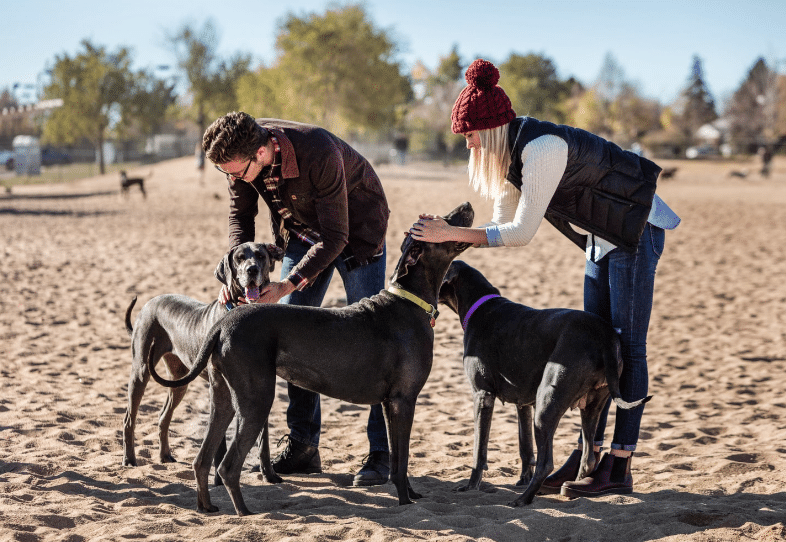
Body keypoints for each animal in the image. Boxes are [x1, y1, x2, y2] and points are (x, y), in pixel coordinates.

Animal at [121, 242, 284, 480]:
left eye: (261, 256)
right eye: (239, 258)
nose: (252, 270)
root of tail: (149, 302)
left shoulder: (257, 388)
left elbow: (264, 440)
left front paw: (269, 474)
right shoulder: (220, 386)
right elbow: (220, 439)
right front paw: (217, 477)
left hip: (179, 381)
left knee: (163, 416)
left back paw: (165, 455)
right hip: (141, 370)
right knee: (129, 419)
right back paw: (129, 459)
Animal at [434, 262, 648, 508]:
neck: (479, 304)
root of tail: (605, 335)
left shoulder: (482, 395)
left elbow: (479, 450)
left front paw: (471, 486)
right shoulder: (524, 403)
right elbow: (525, 446)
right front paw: (522, 478)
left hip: (547, 404)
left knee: (547, 463)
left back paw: (523, 499)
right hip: (592, 405)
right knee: (588, 458)